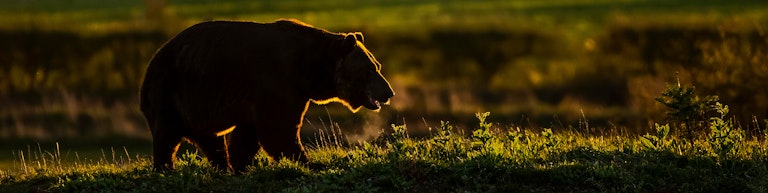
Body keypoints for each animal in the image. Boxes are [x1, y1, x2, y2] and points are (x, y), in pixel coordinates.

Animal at [136, 19, 396, 172]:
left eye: (378, 65)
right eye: (370, 69)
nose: (388, 92)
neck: (310, 69)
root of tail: (150, 63)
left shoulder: (258, 96)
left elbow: (249, 134)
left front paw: (240, 165)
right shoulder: (278, 80)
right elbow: (278, 130)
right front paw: (311, 163)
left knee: (210, 139)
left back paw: (222, 166)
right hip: (170, 91)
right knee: (166, 135)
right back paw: (165, 168)